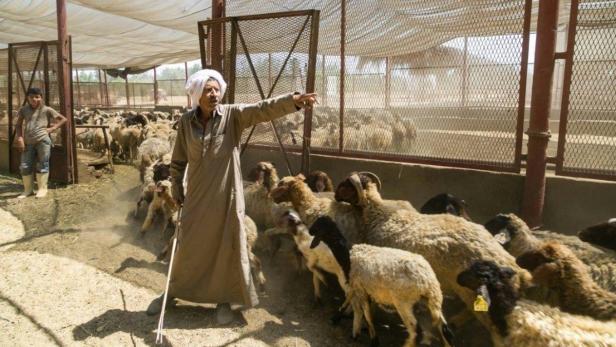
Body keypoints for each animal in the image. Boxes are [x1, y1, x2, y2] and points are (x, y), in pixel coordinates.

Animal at [308, 218, 452, 347]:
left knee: (416, 331)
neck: (347, 256)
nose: (309, 231)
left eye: (319, 225)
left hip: (403, 302)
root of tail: (428, 281)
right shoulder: (362, 289)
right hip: (432, 301)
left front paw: (373, 340)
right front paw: (343, 322)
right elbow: (355, 305)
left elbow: (367, 316)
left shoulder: (361, 289)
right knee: (445, 330)